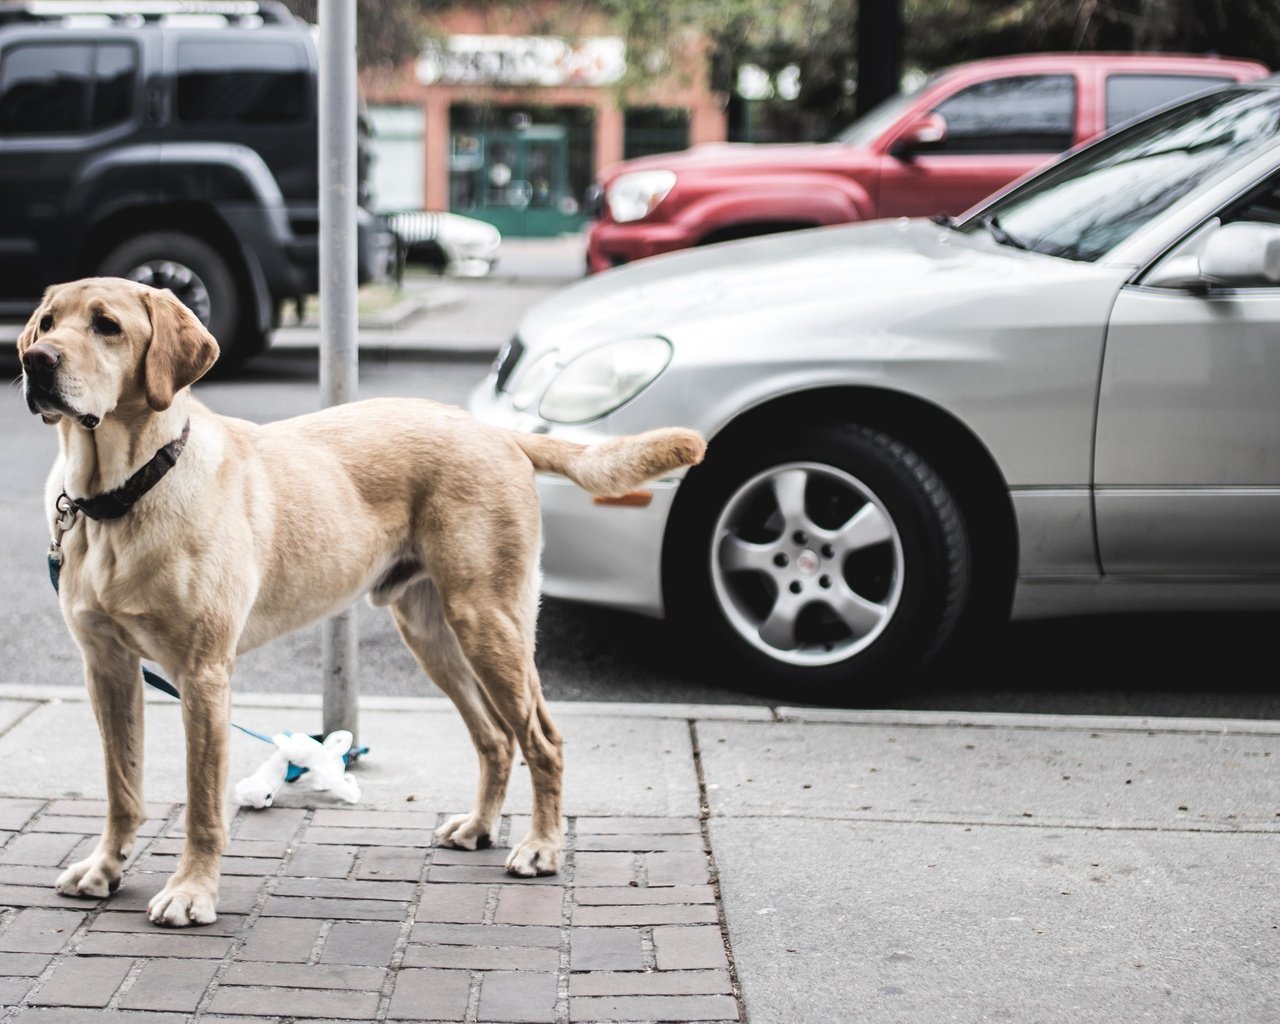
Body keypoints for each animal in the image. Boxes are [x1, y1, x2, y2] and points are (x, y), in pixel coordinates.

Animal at [15, 277, 706, 926]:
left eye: (107, 326)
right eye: (46, 323)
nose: (35, 361)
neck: (120, 496)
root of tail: (496, 431)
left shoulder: (203, 674)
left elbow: (203, 804)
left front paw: (191, 892)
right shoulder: (108, 668)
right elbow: (122, 786)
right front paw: (105, 867)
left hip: (490, 623)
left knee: (542, 739)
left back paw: (541, 846)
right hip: (433, 633)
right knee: (494, 738)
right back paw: (480, 827)